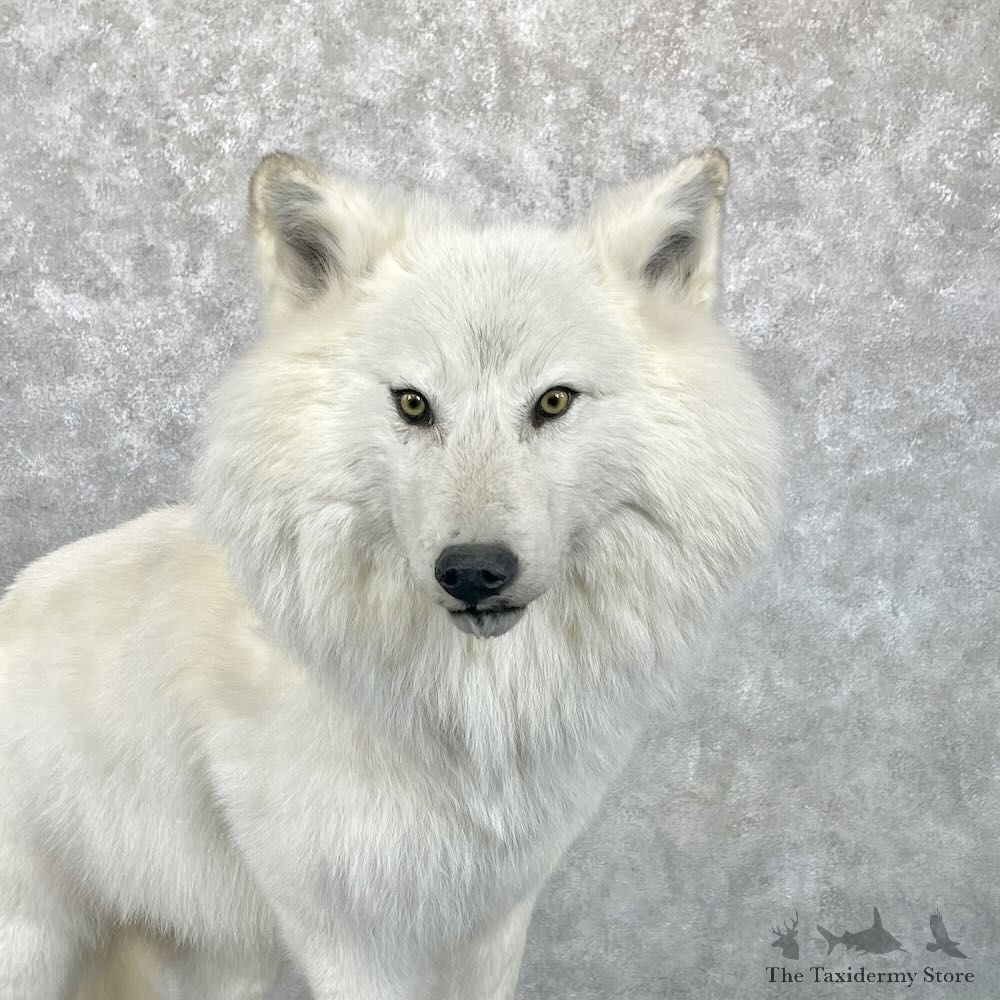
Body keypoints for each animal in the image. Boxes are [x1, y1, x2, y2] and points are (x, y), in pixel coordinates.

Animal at [0, 148, 782, 999]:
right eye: (412, 404)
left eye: (553, 401)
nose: (473, 571)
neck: (467, 723)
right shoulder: (351, 934)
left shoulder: (493, 920)